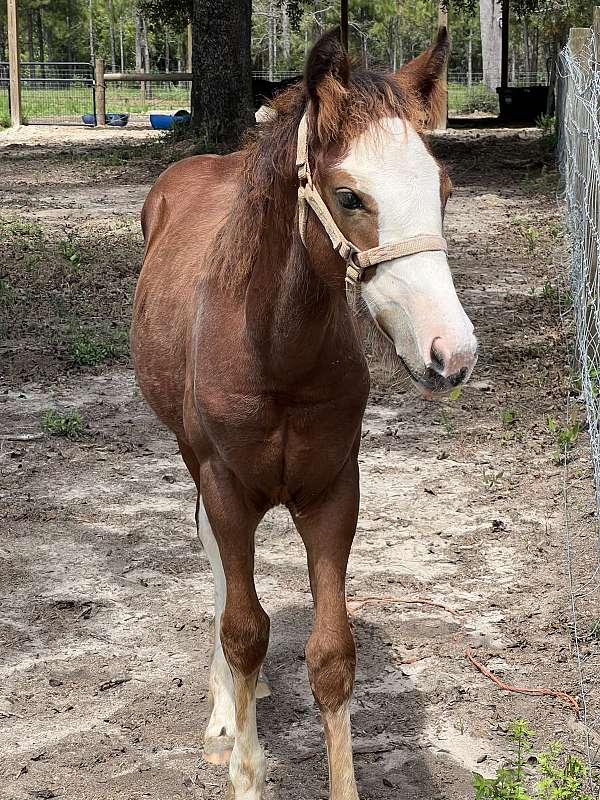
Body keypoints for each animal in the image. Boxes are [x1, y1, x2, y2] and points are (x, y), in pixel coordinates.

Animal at [132, 26, 478, 800]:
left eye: (443, 190)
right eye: (350, 196)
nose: (452, 353)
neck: (276, 353)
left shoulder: (333, 492)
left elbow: (331, 655)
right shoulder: (226, 486)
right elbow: (244, 629)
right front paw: (244, 763)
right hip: (195, 462)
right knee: (219, 571)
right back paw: (226, 709)